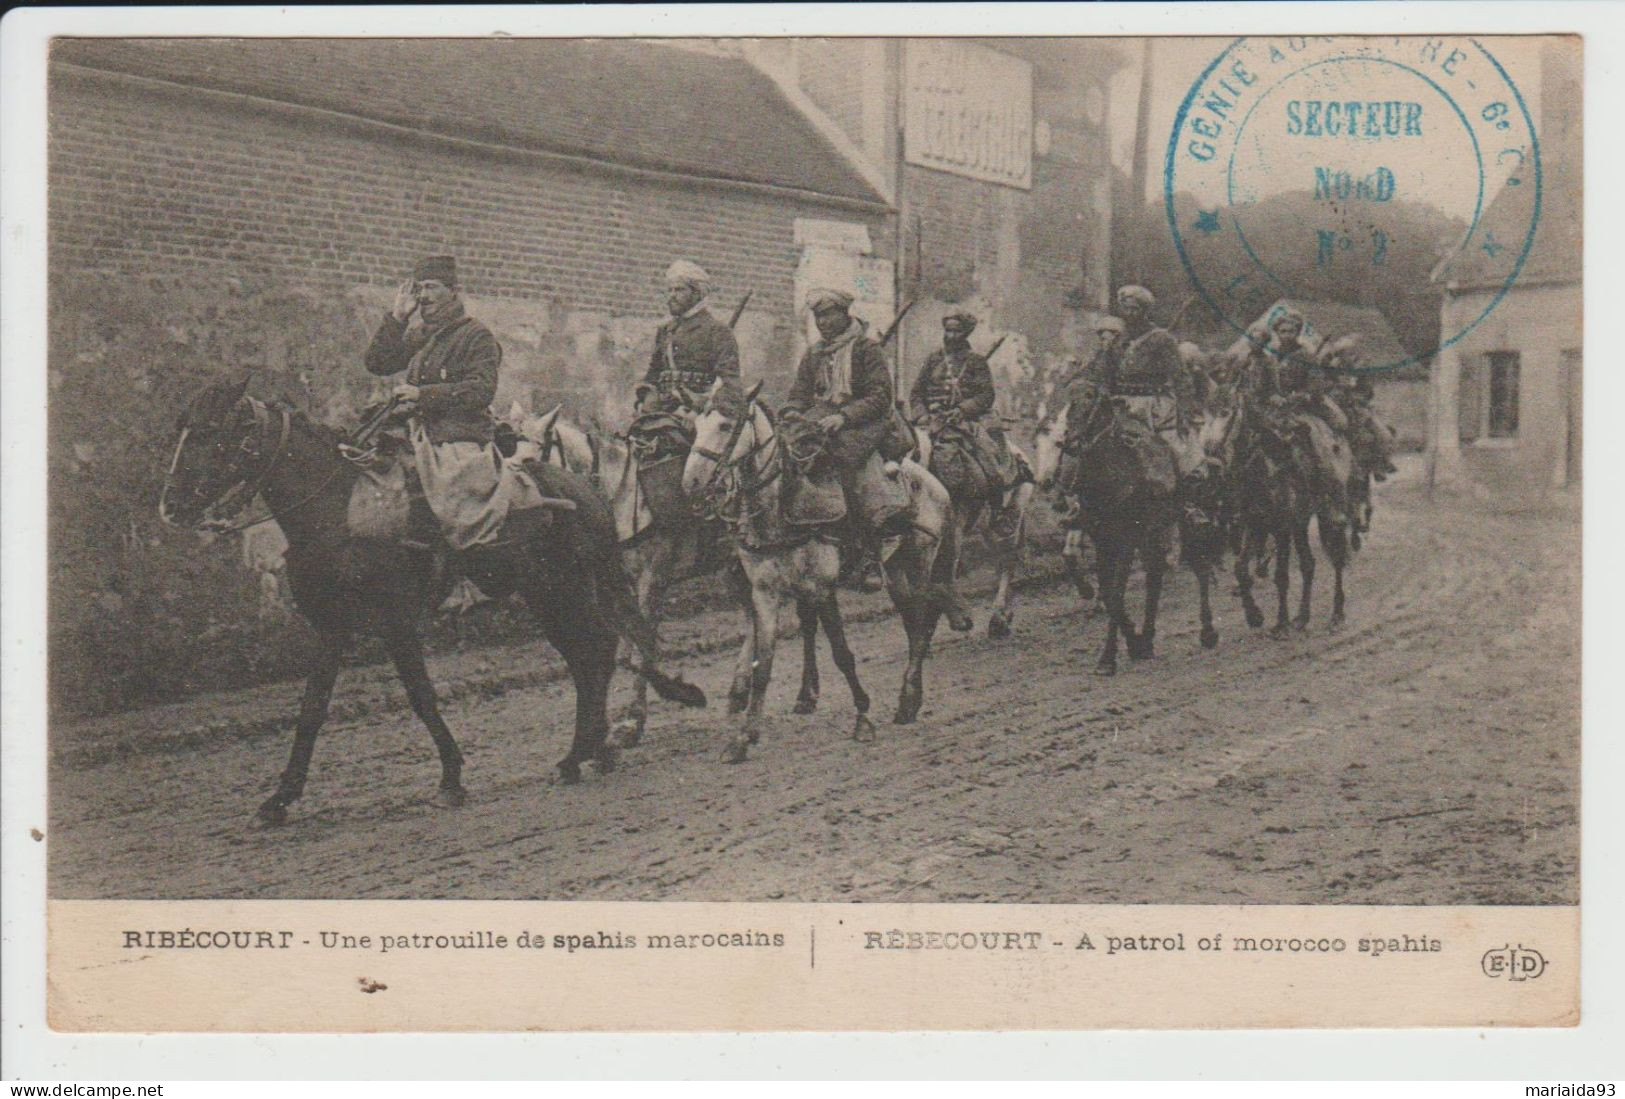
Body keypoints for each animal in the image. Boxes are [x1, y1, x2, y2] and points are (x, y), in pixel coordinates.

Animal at [156, 377, 705, 825]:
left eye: (209, 431)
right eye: (183, 428)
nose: (169, 505)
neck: (339, 511)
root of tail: (584, 491)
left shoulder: (396, 623)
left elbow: (420, 696)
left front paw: (451, 777)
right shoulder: (332, 628)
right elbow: (311, 710)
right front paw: (280, 798)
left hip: (564, 591)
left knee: (596, 653)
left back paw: (587, 751)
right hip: (548, 597)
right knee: (590, 657)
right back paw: (590, 752)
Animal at [682, 382, 955, 760]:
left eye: (725, 426)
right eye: (695, 426)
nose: (691, 484)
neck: (782, 506)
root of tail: (932, 482)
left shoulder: (822, 588)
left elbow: (842, 654)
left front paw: (863, 719)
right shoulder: (765, 592)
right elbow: (763, 665)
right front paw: (744, 736)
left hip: (919, 564)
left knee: (924, 623)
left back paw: (908, 698)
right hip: (897, 570)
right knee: (914, 622)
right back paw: (908, 700)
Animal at [910, 419, 1033, 643]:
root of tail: (1017, 451)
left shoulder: (952, 533)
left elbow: (939, 577)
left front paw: (960, 619)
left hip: (1006, 524)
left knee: (1007, 562)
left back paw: (999, 617)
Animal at [1027, 373, 1222, 673]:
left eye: (1088, 397)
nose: (1066, 437)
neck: (1114, 474)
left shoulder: (1127, 541)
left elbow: (1117, 592)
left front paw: (1108, 658)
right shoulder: (1103, 540)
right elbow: (1109, 594)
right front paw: (1133, 642)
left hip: (1182, 524)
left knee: (1199, 568)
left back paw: (1208, 631)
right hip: (1152, 534)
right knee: (1155, 575)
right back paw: (1148, 638)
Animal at [1222, 395, 1352, 634]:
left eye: (1228, 413)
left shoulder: (1281, 528)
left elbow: (1281, 576)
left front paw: (1281, 623)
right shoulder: (1254, 524)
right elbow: (1240, 568)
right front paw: (1254, 616)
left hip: (1330, 515)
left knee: (1337, 558)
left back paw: (1337, 615)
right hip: (1299, 523)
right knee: (1308, 564)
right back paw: (1301, 618)